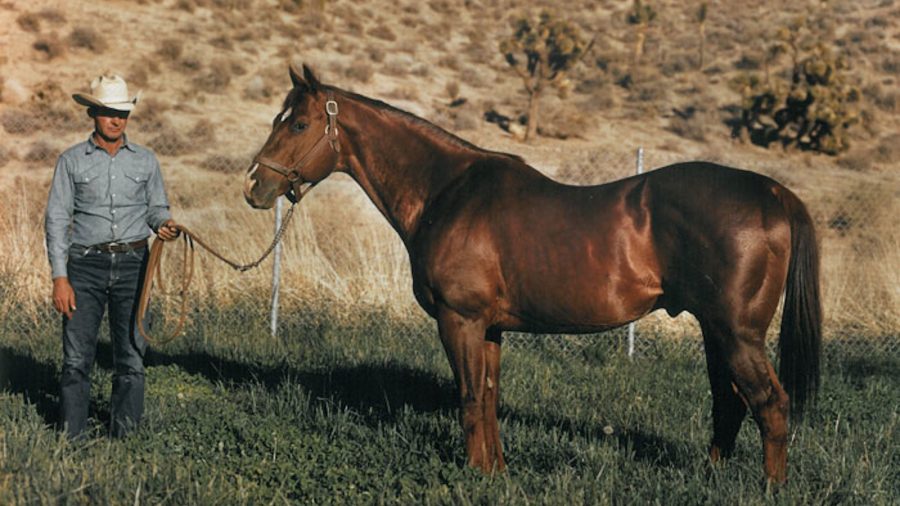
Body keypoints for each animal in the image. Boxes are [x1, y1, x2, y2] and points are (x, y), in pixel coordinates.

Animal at [243, 65, 822, 483]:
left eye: (298, 123)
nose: (254, 187)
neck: (446, 191)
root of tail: (774, 192)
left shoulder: (459, 320)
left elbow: (469, 398)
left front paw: (475, 473)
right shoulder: (489, 328)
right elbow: (488, 396)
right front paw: (497, 471)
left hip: (736, 333)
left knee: (770, 405)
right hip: (716, 331)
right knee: (730, 403)